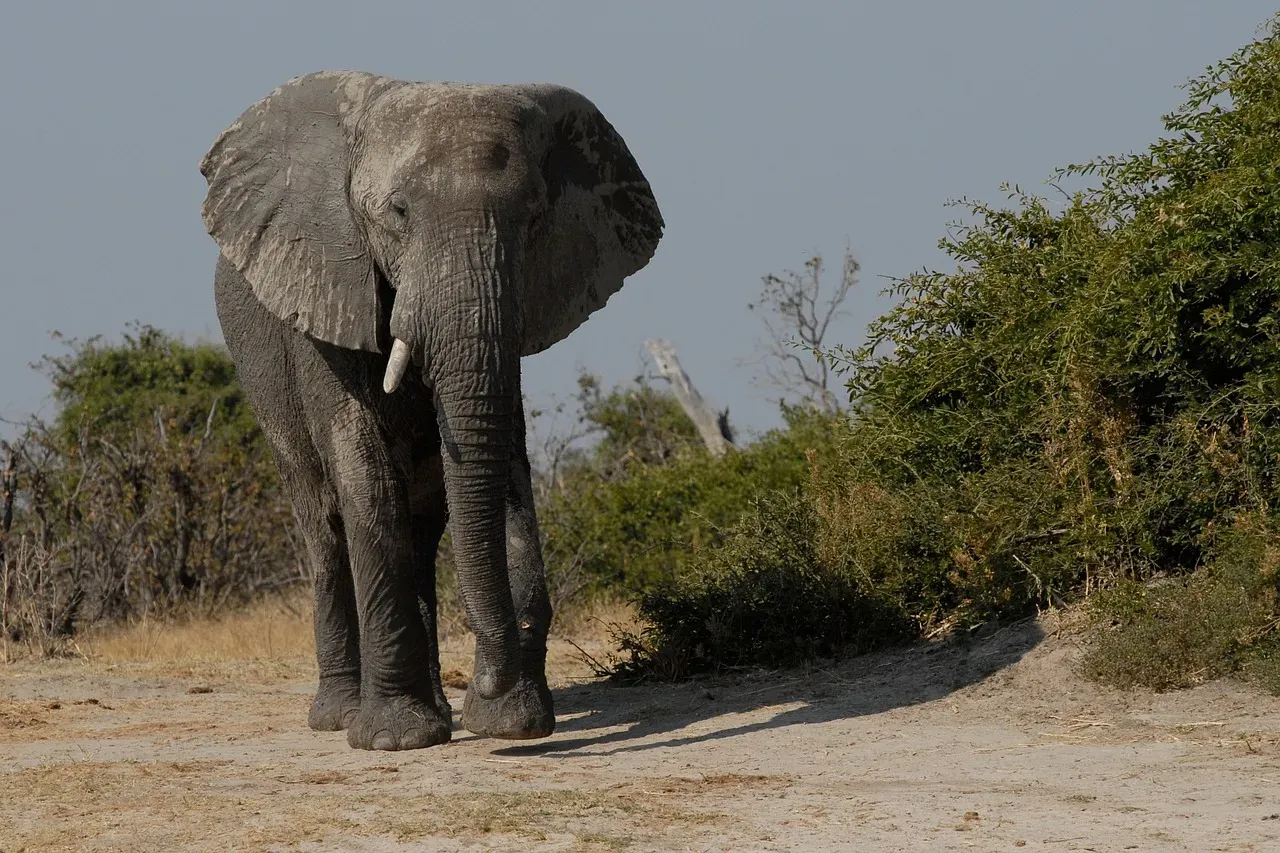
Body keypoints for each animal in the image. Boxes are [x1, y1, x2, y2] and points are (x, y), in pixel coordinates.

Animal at [198, 71, 663, 750]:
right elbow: (363, 472)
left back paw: (436, 712)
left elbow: (507, 459)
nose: (486, 682)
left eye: (533, 218)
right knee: (323, 519)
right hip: (260, 377)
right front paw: (392, 739)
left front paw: (510, 723)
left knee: (421, 521)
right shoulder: (326, 289)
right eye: (397, 213)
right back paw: (341, 715)